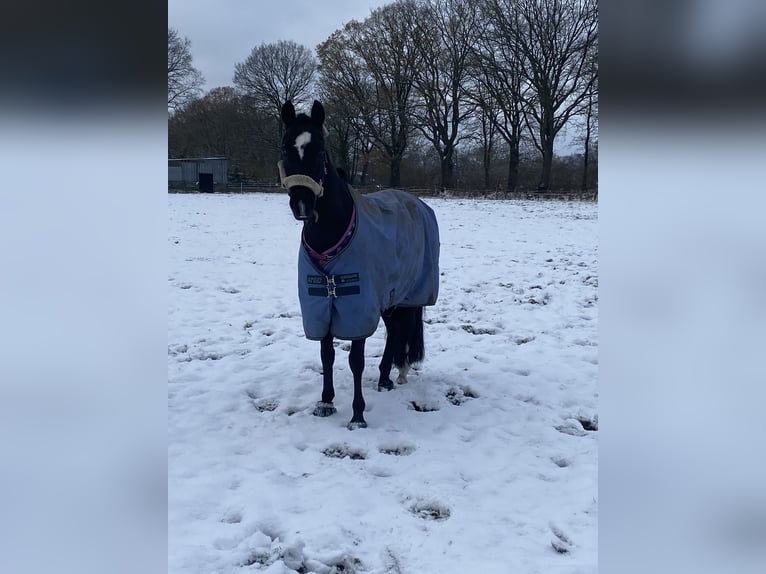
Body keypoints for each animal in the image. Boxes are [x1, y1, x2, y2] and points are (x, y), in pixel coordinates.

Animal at [280, 100, 440, 432]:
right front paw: (326, 402)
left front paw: (357, 415)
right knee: (394, 333)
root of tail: (416, 203)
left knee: (402, 331)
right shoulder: (320, 306)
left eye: (319, 150)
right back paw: (384, 378)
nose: (302, 205)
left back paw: (397, 374)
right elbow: (326, 355)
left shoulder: (358, 307)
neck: (332, 237)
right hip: (390, 299)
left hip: (409, 297)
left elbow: (355, 361)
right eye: (285, 148)